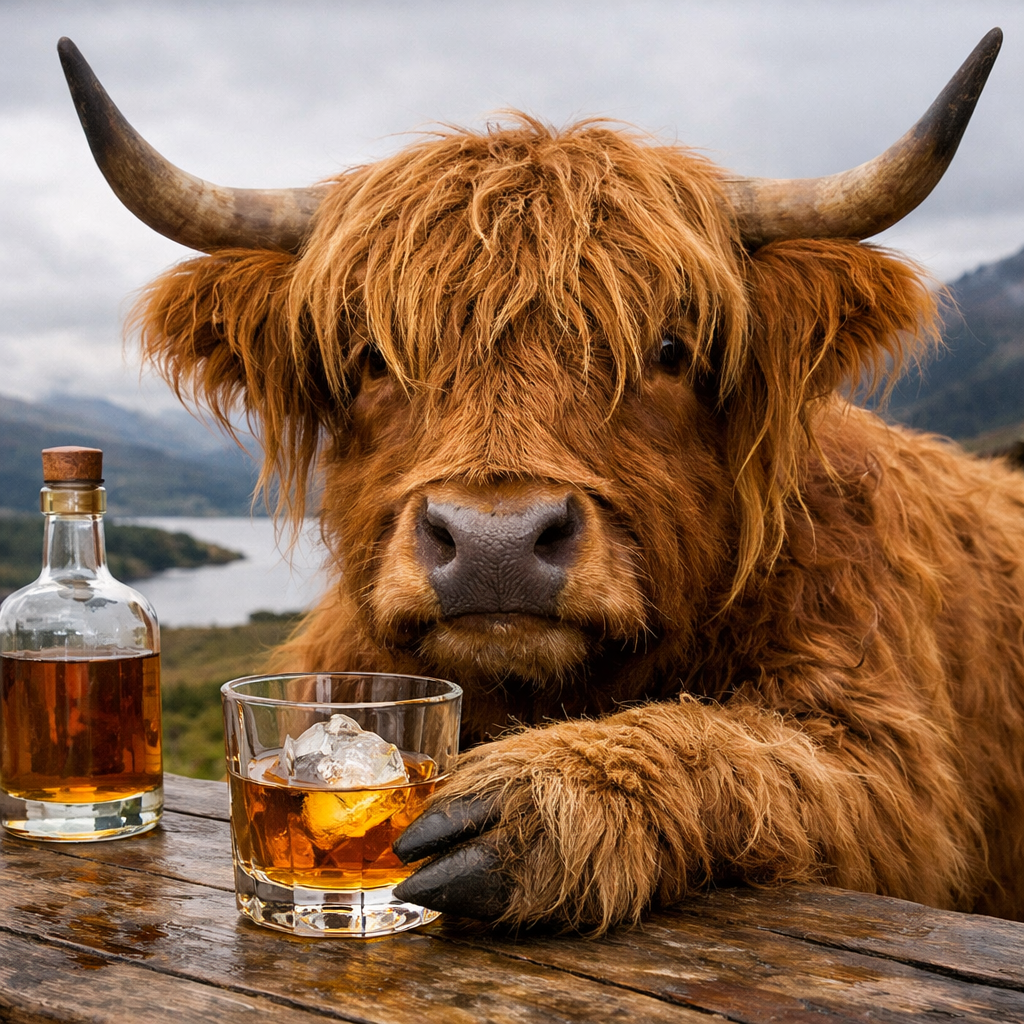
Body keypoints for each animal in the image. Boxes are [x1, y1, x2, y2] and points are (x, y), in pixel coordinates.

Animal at [59, 29, 1024, 933]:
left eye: (670, 347)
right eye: (370, 356)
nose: (497, 544)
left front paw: (551, 798)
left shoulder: (891, 759)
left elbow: (774, 755)